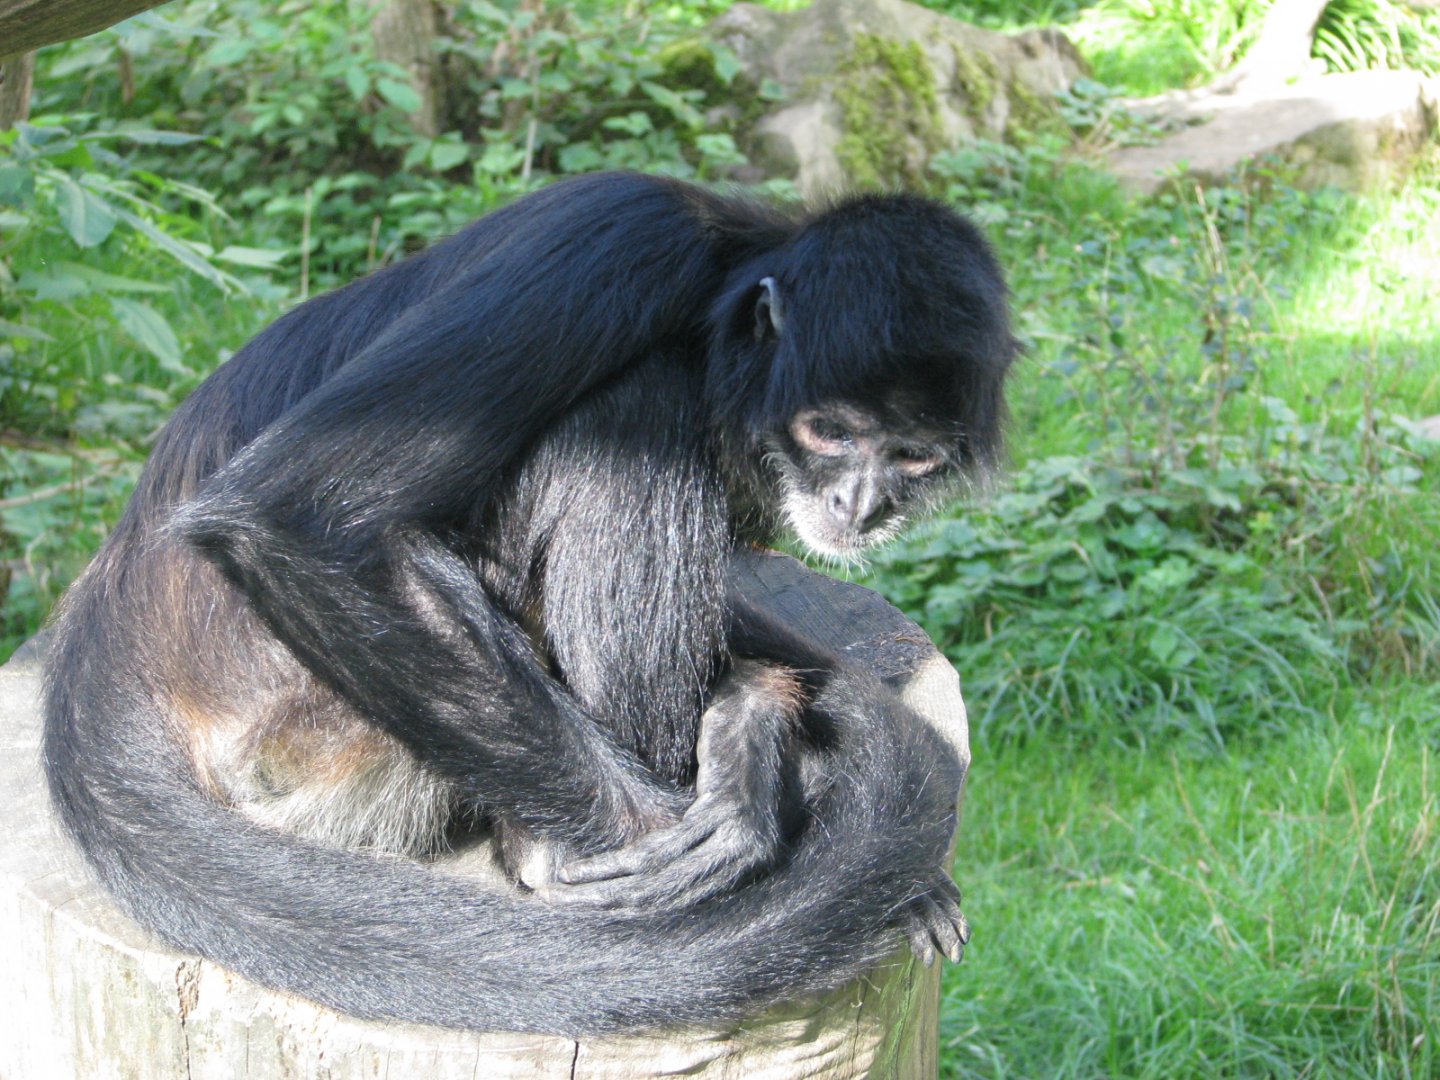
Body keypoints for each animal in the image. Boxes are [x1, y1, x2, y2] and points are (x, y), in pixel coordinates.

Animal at [42, 171, 1015, 1035]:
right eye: (830, 432)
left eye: (912, 456)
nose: (859, 504)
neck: (717, 289)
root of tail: (111, 610)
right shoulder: (623, 233)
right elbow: (294, 518)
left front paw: (753, 721)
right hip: (302, 722)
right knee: (633, 410)